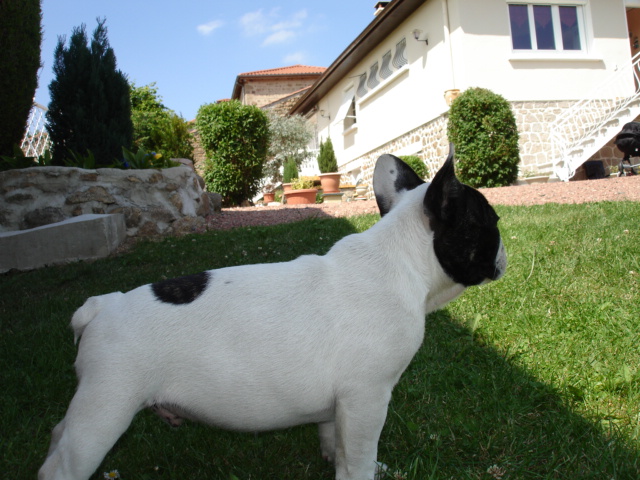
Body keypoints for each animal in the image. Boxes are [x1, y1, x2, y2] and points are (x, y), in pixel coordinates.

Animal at [42, 148, 508, 480]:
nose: (505, 252)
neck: (401, 261)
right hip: (107, 404)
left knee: (57, 435)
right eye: (493, 222)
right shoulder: (367, 397)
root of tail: (103, 306)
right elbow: (358, 457)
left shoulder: (340, 406)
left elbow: (335, 443)